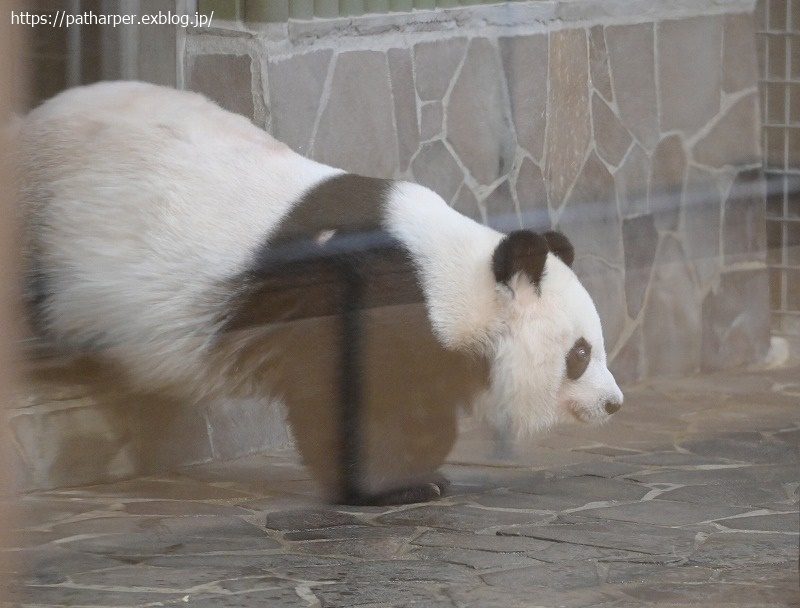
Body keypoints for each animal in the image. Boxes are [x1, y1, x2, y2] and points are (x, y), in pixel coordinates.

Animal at [15, 83, 620, 506]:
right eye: (579, 353)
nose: (614, 404)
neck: (448, 274)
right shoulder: (367, 291)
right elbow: (349, 397)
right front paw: (393, 487)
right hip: (44, 214)